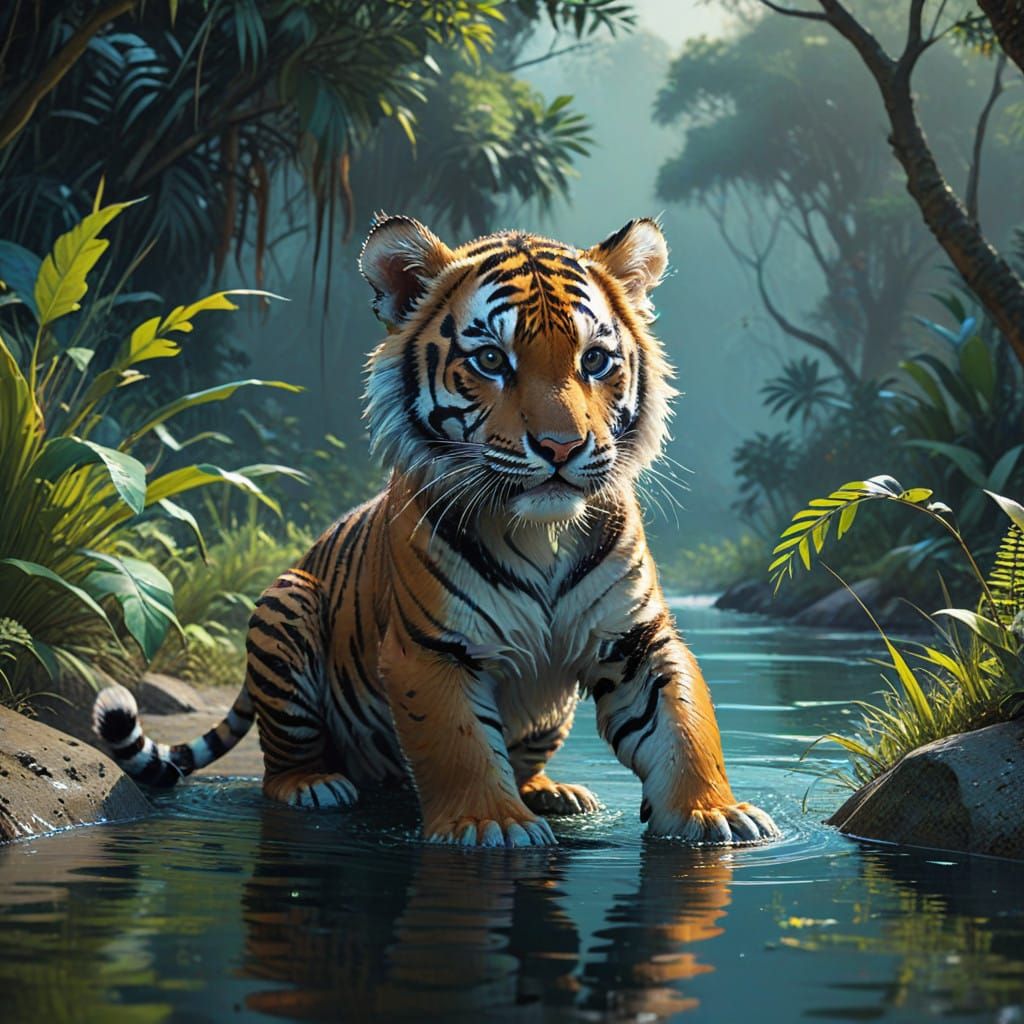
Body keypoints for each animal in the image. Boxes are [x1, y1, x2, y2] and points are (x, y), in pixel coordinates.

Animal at [93, 214, 780, 847]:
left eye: (595, 360)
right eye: (491, 359)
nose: (562, 447)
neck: (545, 534)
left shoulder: (638, 640)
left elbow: (684, 726)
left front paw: (713, 813)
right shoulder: (432, 649)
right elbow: (460, 744)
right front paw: (491, 824)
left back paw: (553, 792)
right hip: (285, 604)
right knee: (281, 758)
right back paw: (314, 785)